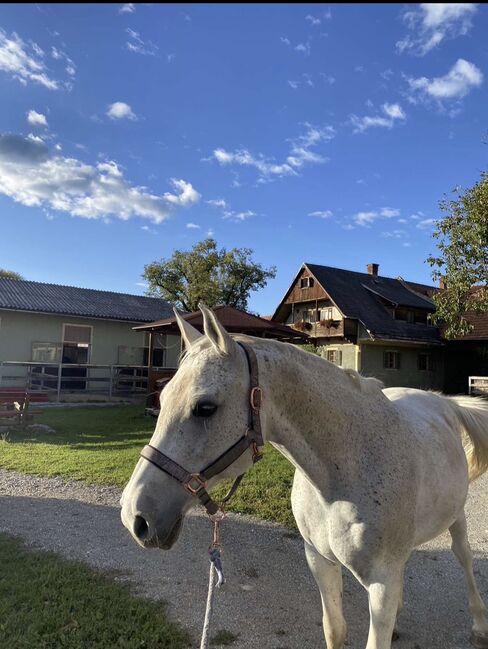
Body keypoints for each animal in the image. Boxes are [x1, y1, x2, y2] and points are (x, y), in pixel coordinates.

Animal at [121, 305, 488, 649]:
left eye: (205, 407)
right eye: (163, 398)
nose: (134, 516)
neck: (343, 475)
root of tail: (439, 401)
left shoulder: (382, 581)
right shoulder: (320, 561)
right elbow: (334, 630)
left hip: (456, 519)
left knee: (464, 558)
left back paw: (479, 625)